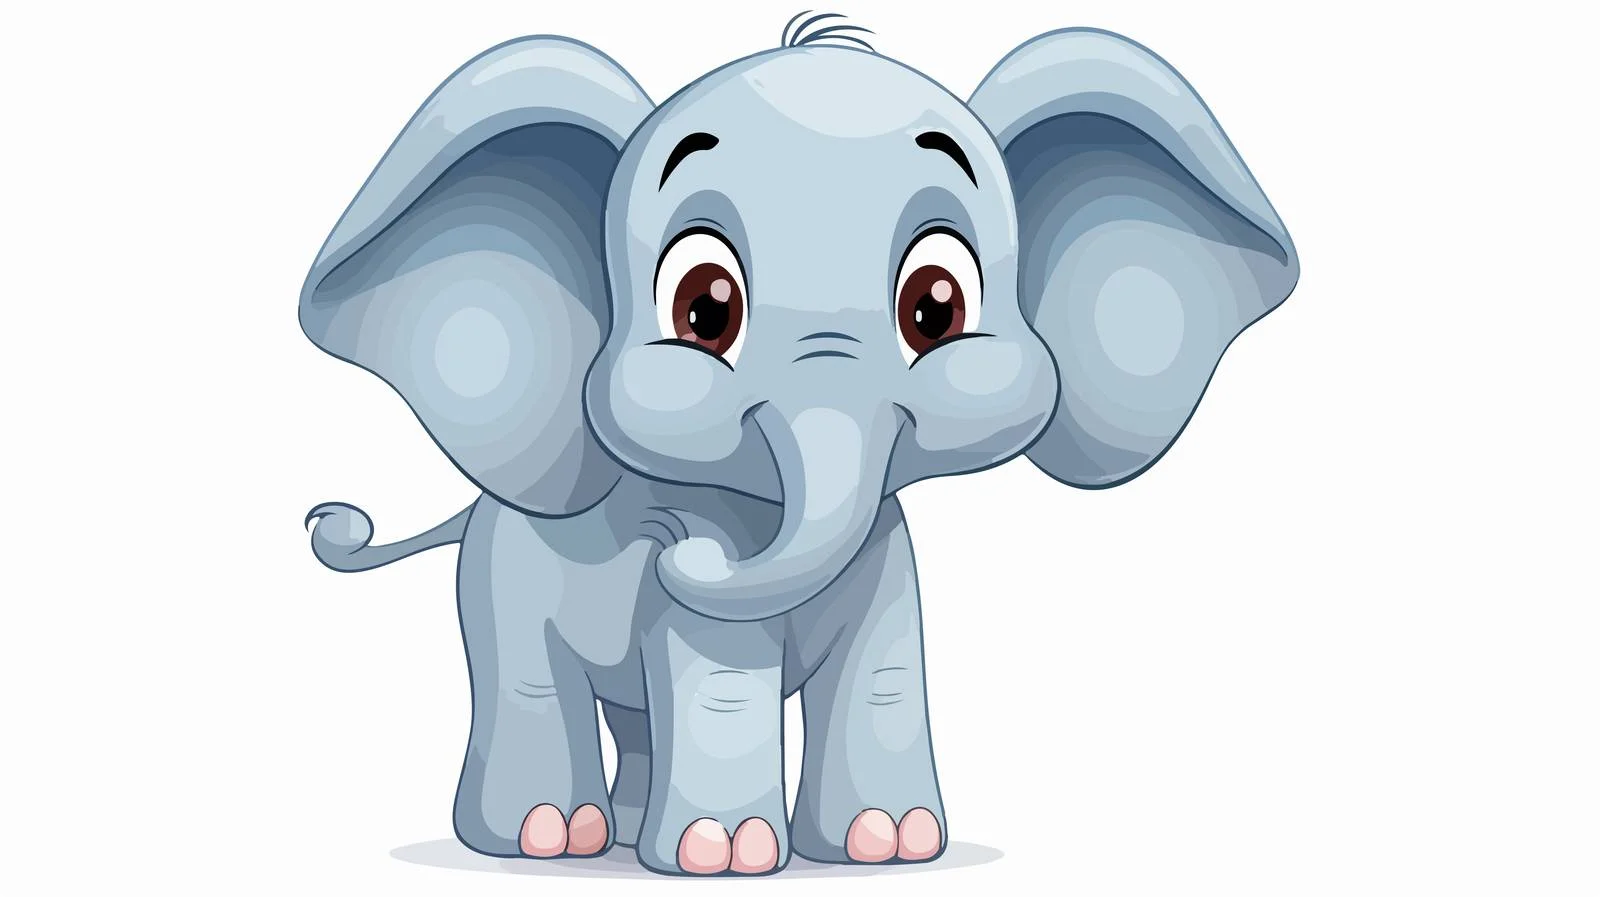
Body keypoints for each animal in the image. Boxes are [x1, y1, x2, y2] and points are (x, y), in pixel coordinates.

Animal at [300, 17, 1298, 877]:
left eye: (937, 305)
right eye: (704, 309)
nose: (669, 539)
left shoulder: (886, 551)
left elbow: (885, 662)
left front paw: (888, 844)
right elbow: (714, 665)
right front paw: (724, 855)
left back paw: (623, 832)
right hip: (494, 579)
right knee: (531, 681)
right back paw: (548, 837)